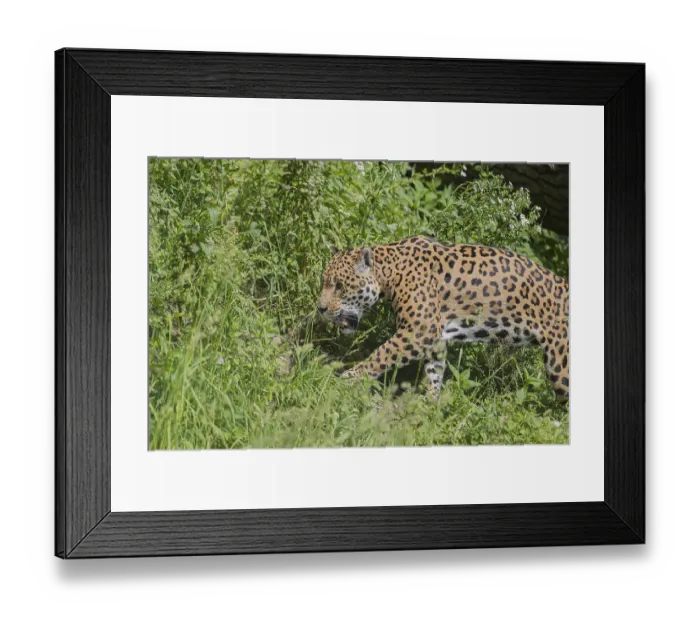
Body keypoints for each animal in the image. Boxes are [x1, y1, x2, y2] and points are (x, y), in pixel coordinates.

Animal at [317, 236, 569, 402]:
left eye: (339, 286)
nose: (320, 308)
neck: (392, 272)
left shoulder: (417, 331)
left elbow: (380, 356)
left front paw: (347, 378)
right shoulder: (434, 337)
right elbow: (434, 371)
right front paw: (430, 404)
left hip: (560, 364)